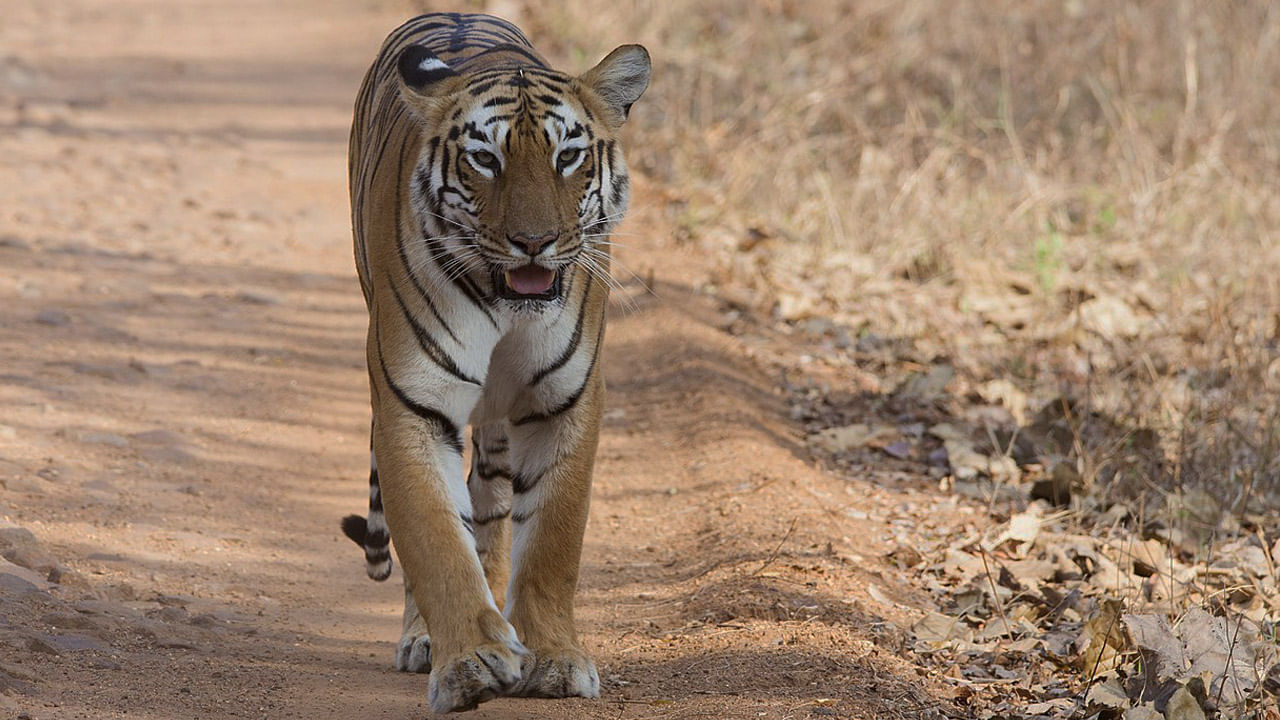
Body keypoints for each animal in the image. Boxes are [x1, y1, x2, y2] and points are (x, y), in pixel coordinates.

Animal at [337, 11, 650, 712]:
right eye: (486, 158)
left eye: (568, 156)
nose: (534, 242)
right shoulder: (413, 404)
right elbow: (435, 540)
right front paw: (470, 662)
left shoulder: (564, 402)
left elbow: (552, 542)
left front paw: (554, 659)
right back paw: (427, 640)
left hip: (501, 429)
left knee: (493, 509)